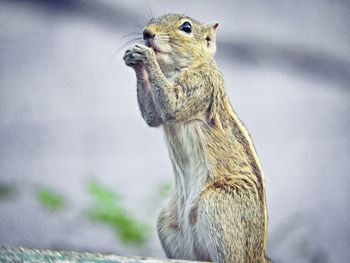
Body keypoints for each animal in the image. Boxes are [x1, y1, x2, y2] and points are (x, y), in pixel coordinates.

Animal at [123, 14, 270, 263]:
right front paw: (134, 60)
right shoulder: (158, 112)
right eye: (151, 20)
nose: (147, 33)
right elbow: (153, 117)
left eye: (186, 27)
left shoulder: (201, 85)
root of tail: (258, 254)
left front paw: (146, 58)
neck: (175, 70)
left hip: (219, 206)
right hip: (169, 224)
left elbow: (172, 105)